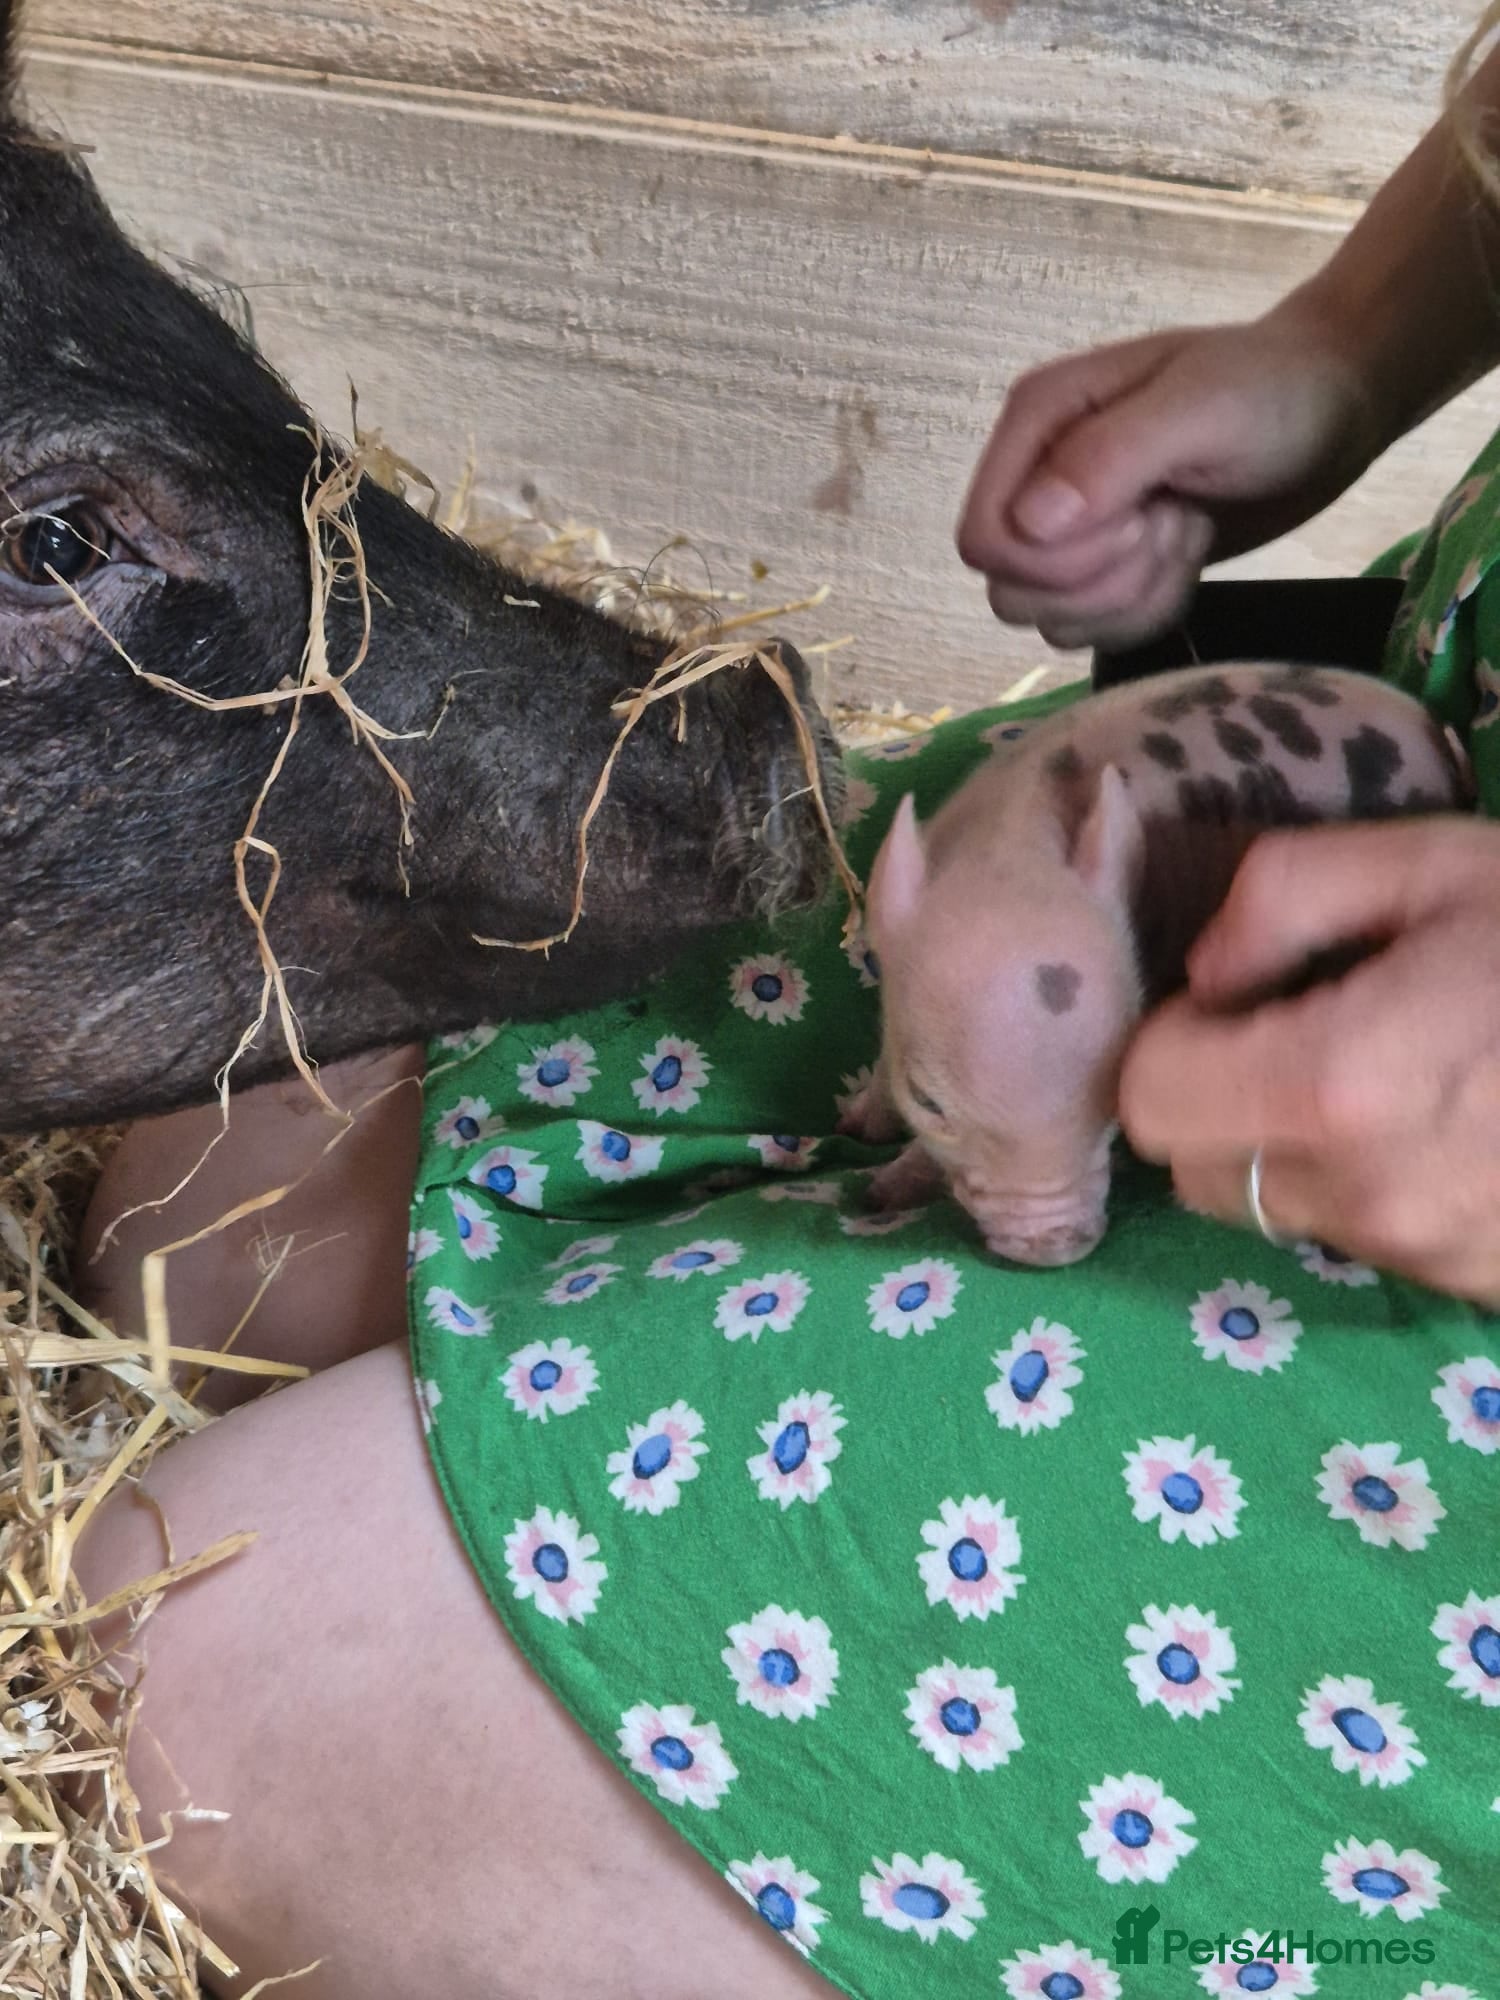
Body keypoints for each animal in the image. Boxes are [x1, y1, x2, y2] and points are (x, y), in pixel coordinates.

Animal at [842, 663, 1467, 1266]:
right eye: (927, 1100)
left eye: (1116, 1096)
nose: (1054, 1245)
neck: (1008, 857)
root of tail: (1436, 734)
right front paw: (860, 1138)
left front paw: (878, 1189)